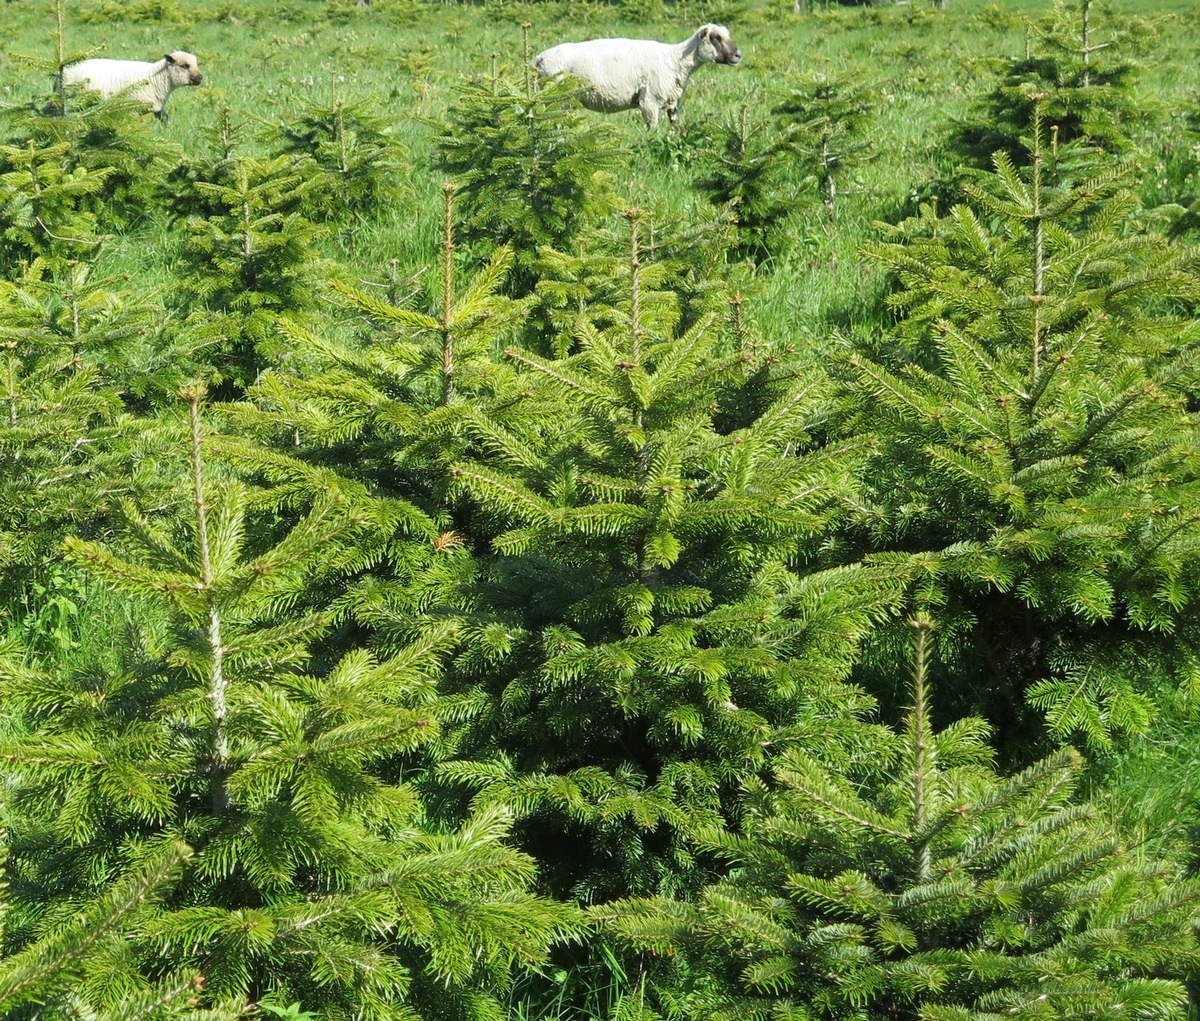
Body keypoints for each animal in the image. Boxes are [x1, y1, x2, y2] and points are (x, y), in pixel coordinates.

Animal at [60, 50, 204, 122]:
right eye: (185, 66)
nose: (200, 78)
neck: (156, 79)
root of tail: (64, 68)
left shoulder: (157, 108)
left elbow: (165, 120)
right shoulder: (133, 110)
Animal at [535, 24, 739, 129]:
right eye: (715, 38)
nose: (738, 55)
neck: (676, 60)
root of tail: (539, 58)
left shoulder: (673, 102)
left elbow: (676, 128)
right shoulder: (650, 100)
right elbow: (653, 129)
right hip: (557, 97)